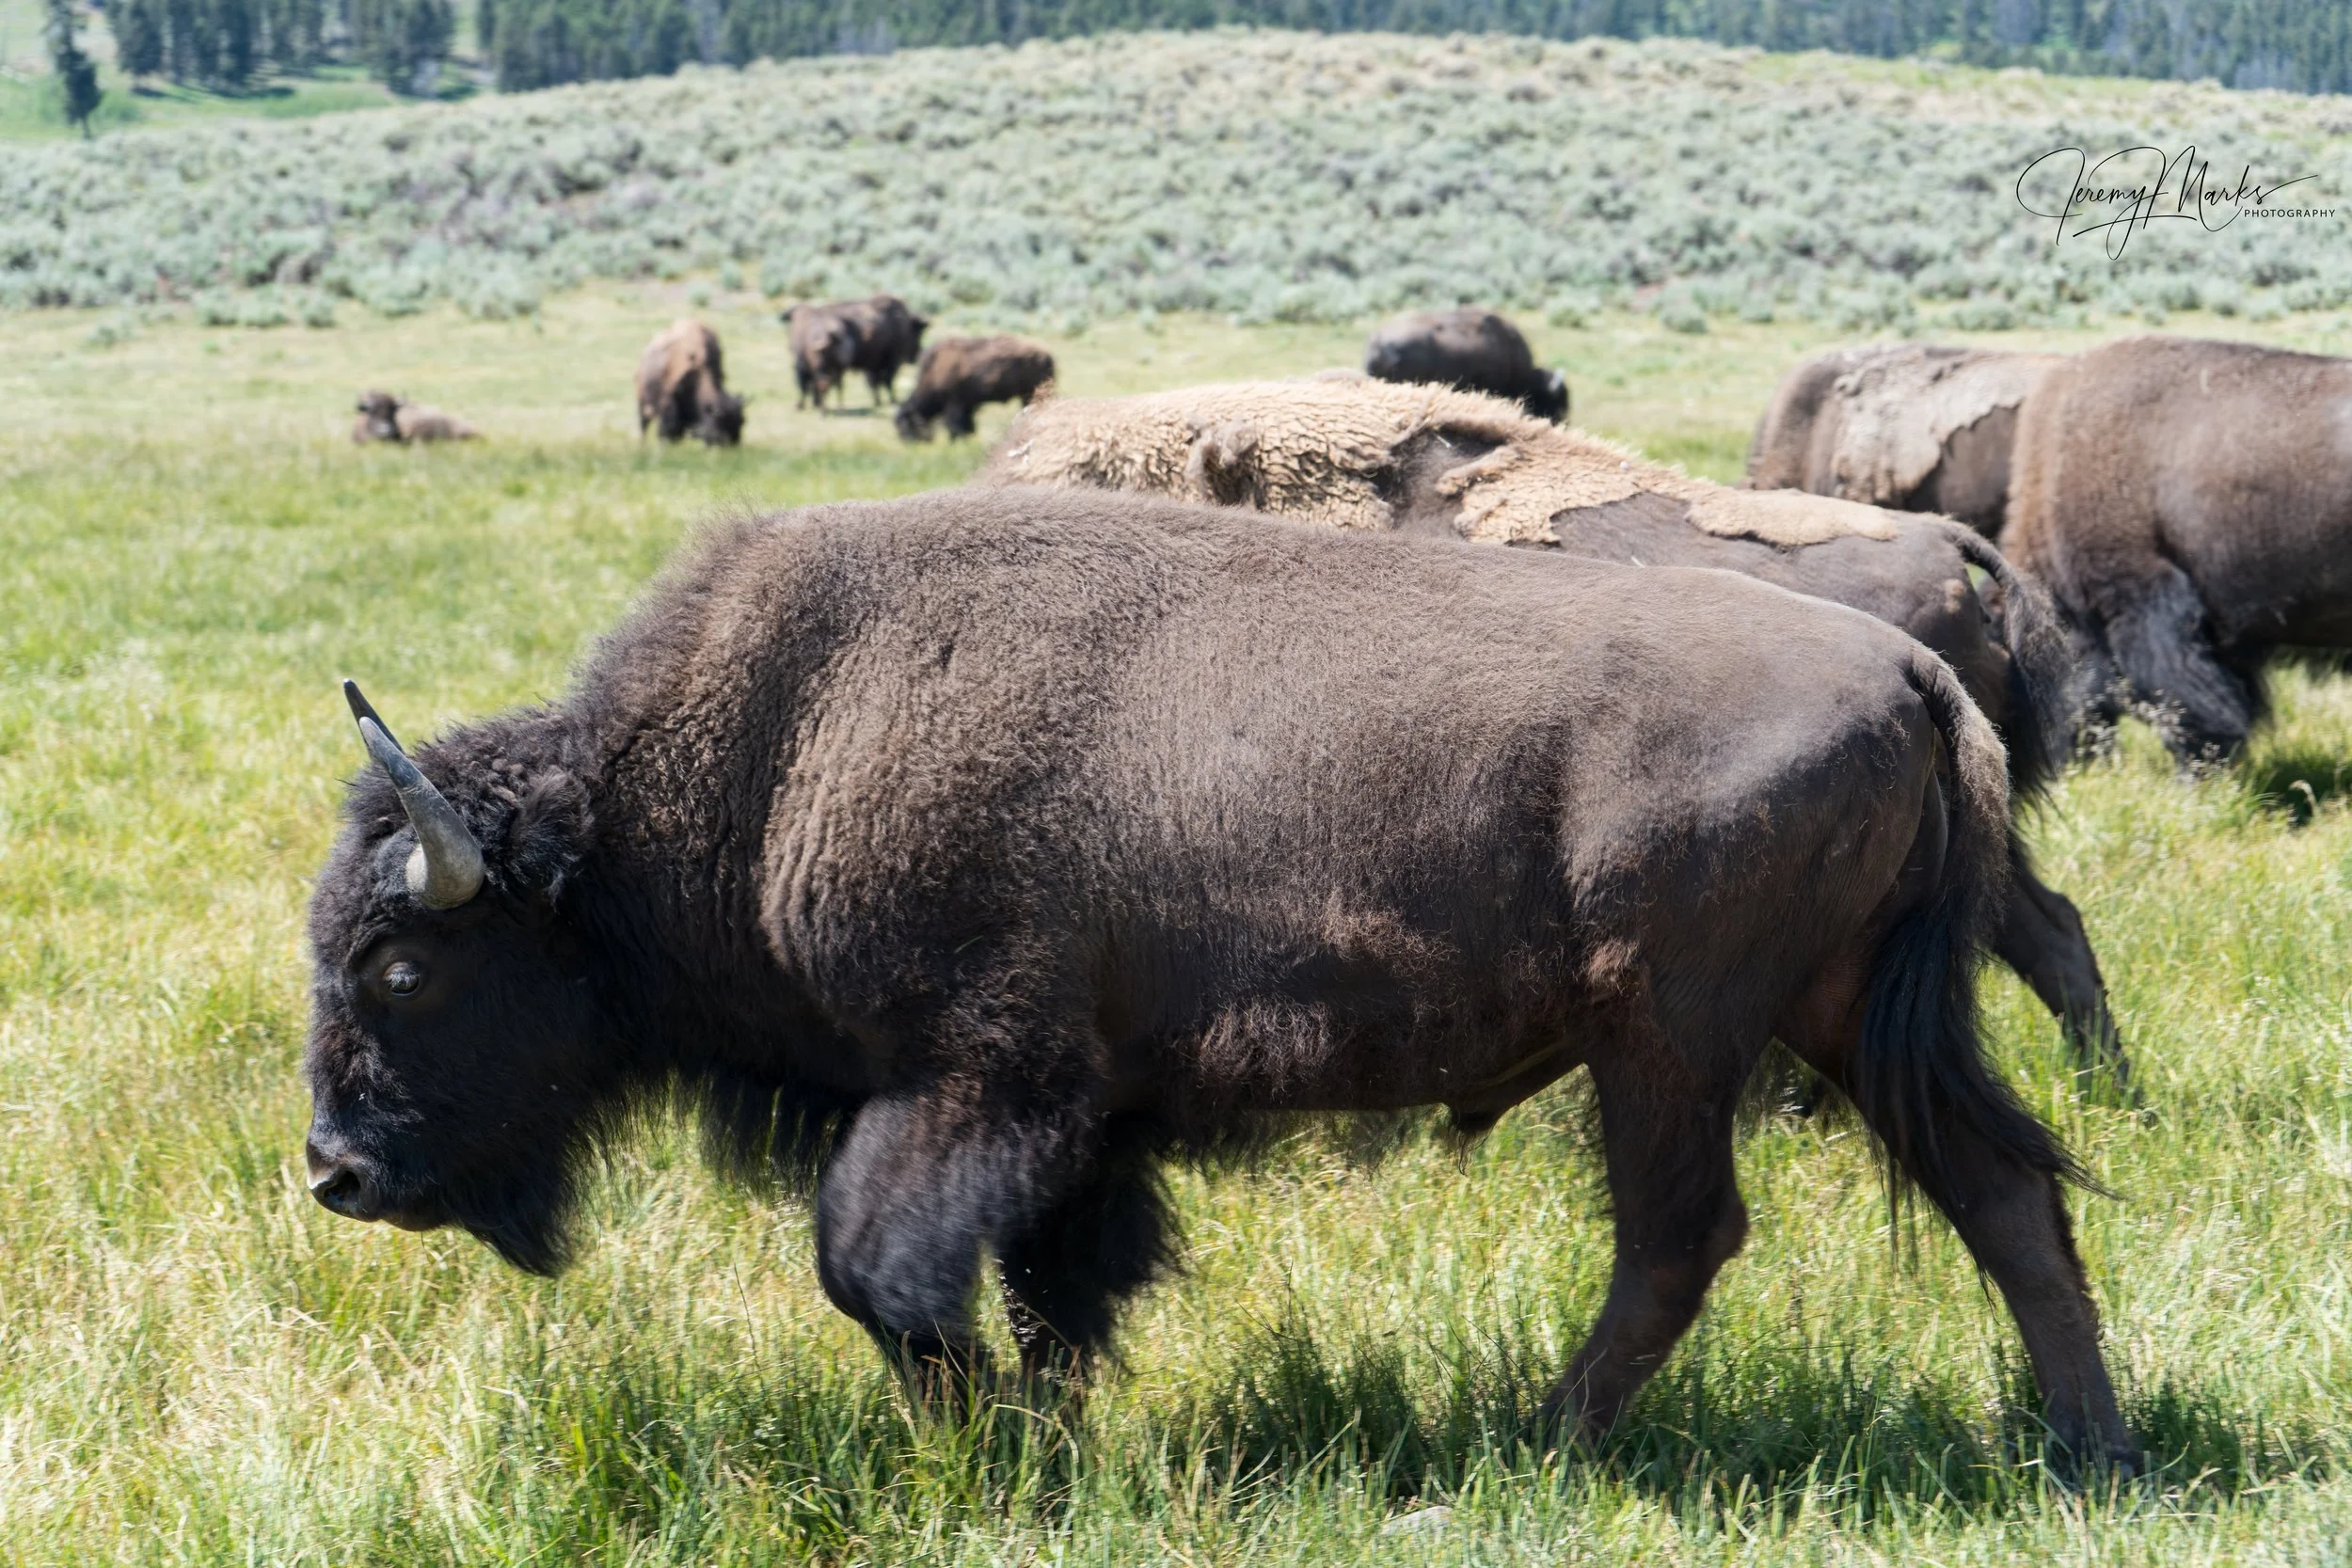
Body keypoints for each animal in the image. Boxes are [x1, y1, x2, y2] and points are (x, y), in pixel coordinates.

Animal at [303, 486, 2134, 1470]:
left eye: (400, 964)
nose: (332, 1172)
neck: (776, 742)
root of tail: (1906, 666)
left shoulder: (980, 1079)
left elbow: (882, 1269)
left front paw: (986, 1449)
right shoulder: (1076, 1125)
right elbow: (1053, 1289)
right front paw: (1046, 1438)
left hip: (1668, 1037)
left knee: (1686, 1235)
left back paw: (1530, 1439)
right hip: (1837, 1015)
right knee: (2001, 1187)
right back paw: (2088, 1446)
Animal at [635, 319, 746, 447]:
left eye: (742, 421)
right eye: (718, 421)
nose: (732, 444)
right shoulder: (668, 401)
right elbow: (669, 426)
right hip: (642, 402)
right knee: (643, 424)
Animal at [894, 335, 1055, 441]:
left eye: (906, 424)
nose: (907, 442)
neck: (933, 373)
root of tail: (1046, 355)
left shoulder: (954, 403)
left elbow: (954, 425)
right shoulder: (967, 405)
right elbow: (968, 425)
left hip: (1030, 394)